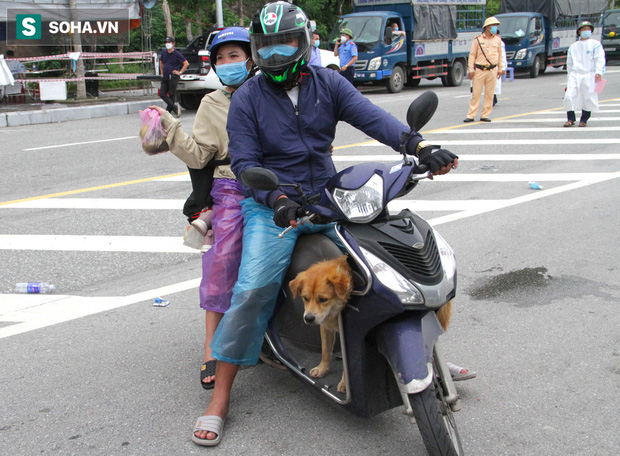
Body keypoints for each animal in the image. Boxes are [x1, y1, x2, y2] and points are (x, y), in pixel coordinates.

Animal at [288, 255, 352, 394]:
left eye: (323, 299)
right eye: (305, 298)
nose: (309, 318)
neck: (334, 312)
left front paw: (345, 383)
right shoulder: (326, 329)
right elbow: (325, 352)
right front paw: (322, 369)